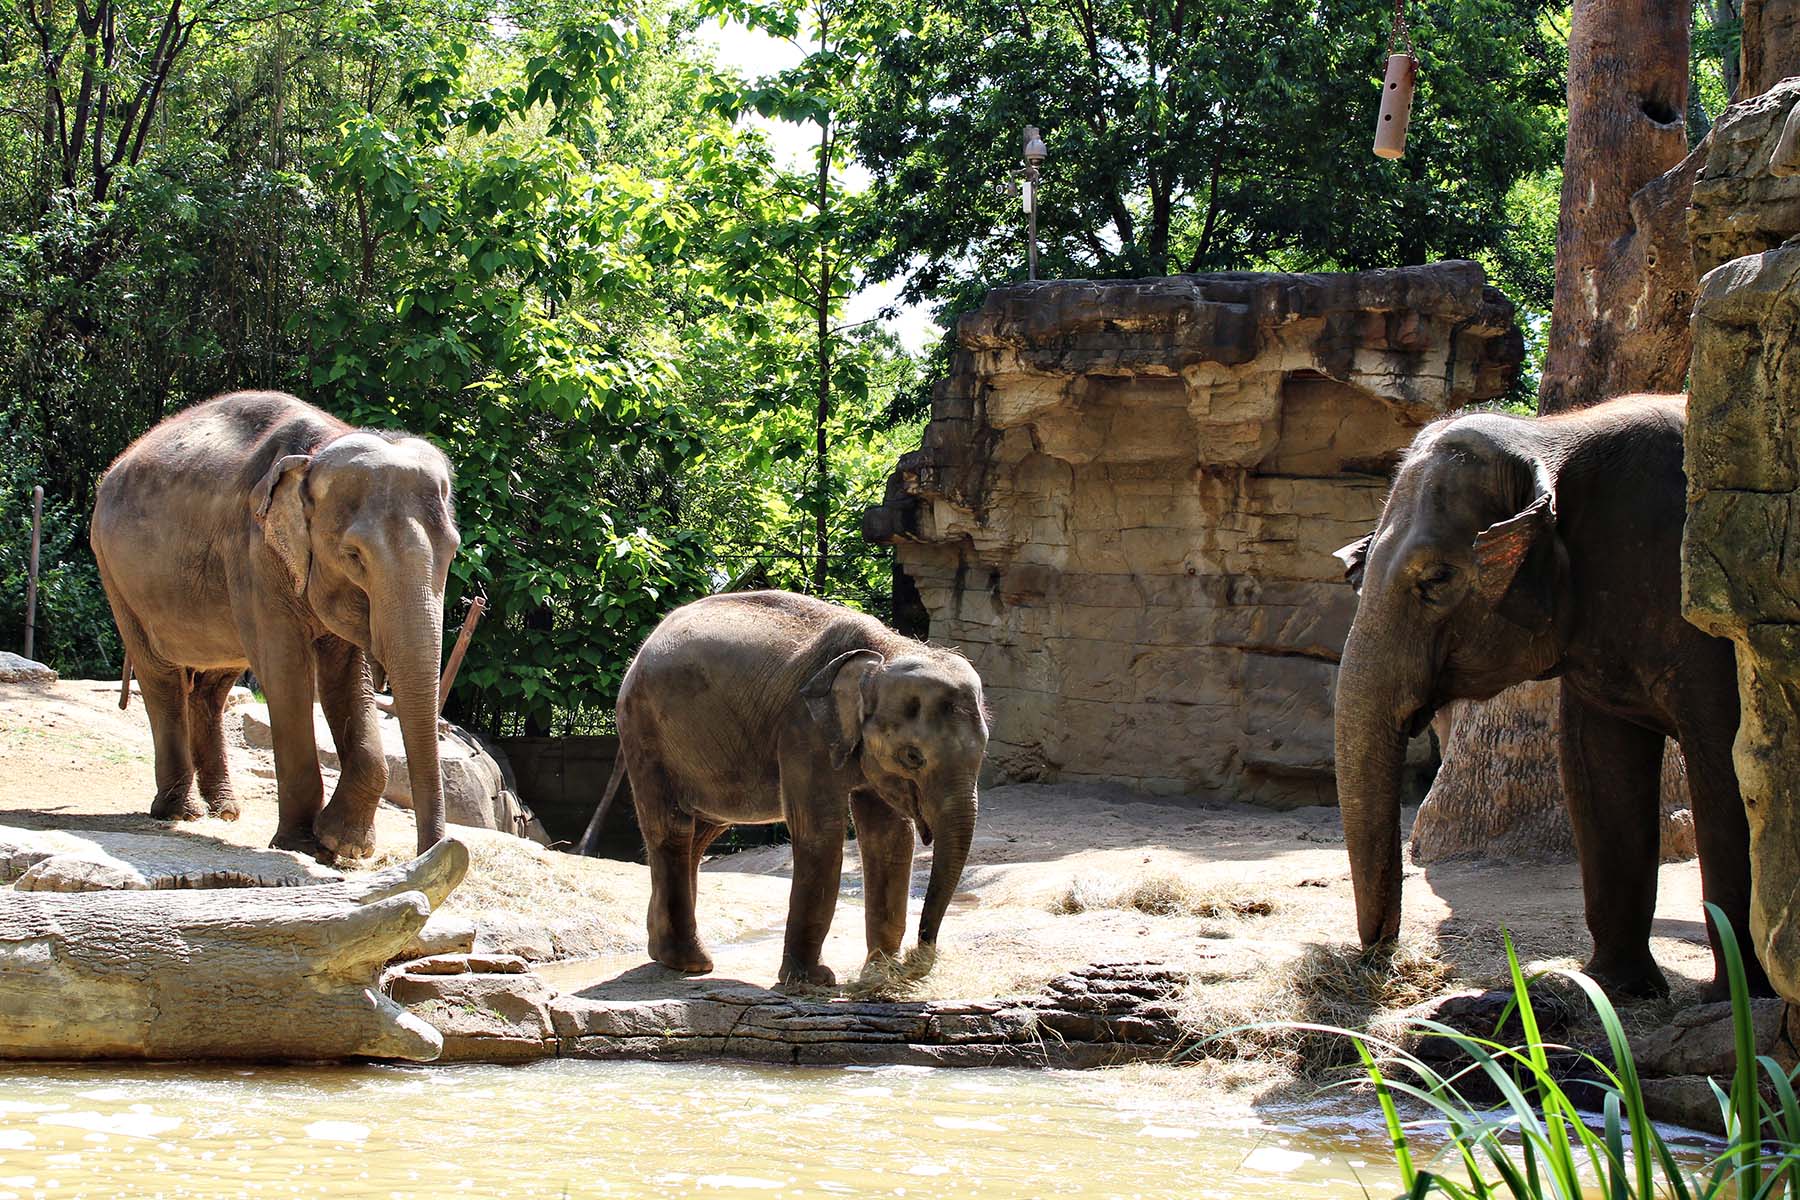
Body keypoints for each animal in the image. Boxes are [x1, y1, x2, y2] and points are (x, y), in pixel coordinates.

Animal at [88, 394, 460, 863]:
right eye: (354, 556)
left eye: (454, 549)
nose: (434, 850)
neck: (319, 451)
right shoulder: (255, 553)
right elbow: (286, 672)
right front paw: (301, 843)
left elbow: (347, 677)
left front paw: (340, 845)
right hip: (115, 573)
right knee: (161, 677)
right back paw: (181, 812)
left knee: (213, 685)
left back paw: (226, 810)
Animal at [586, 590, 986, 985]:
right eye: (913, 756)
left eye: (984, 750)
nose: (920, 957)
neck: (888, 649)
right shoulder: (802, 730)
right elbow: (820, 833)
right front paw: (812, 981)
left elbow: (889, 838)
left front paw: (878, 974)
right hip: (645, 731)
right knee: (672, 829)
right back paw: (691, 963)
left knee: (702, 832)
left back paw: (663, 951)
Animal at [1339, 395, 1771, 1007]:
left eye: (1437, 579)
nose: (1380, 956)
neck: (1550, 436)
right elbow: (1597, 765)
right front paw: (1615, 989)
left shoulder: (1709, 618)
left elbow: (1730, 768)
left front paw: (1737, 1001)